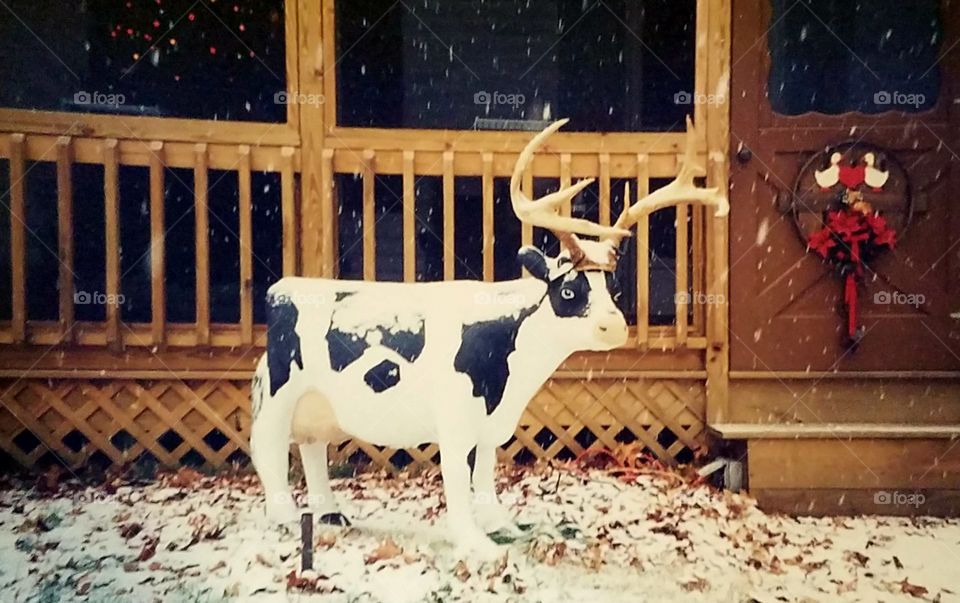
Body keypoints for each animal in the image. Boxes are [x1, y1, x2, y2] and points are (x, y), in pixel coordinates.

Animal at [249, 117, 727, 560]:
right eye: (568, 290)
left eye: (612, 288)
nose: (614, 326)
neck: (509, 375)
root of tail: (284, 287)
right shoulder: (455, 418)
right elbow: (458, 480)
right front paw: (475, 541)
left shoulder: (492, 421)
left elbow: (484, 471)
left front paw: (502, 524)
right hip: (279, 392)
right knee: (269, 448)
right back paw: (284, 516)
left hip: (318, 405)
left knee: (312, 444)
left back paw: (330, 512)